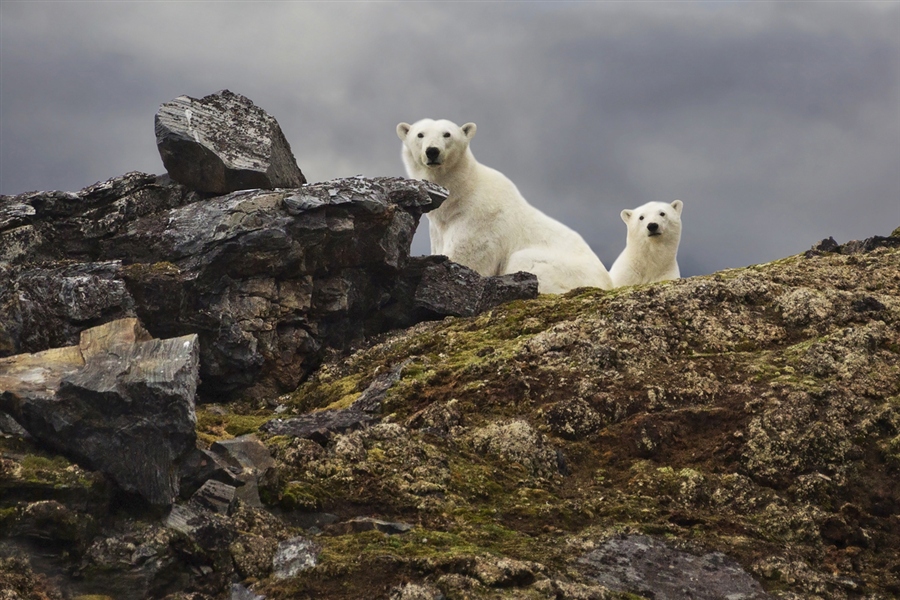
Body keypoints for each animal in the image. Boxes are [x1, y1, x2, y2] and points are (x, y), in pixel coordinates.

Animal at [400, 118, 616, 292]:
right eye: (420, 134)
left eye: (447, 134)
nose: (432, 151)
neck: (462, 193)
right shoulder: (440, 228)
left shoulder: (480, 221)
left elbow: (467, 257)